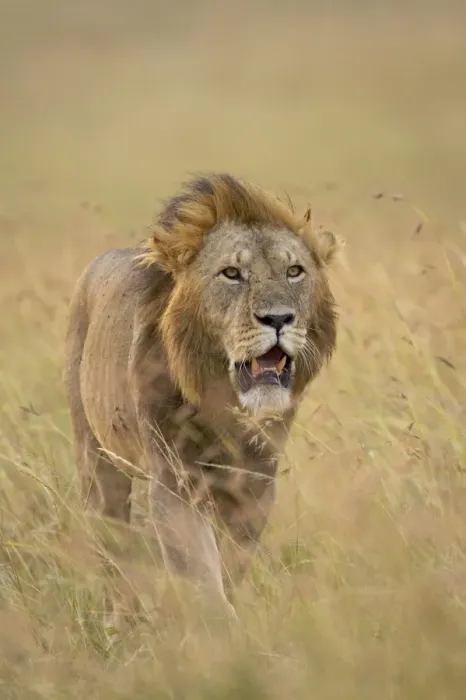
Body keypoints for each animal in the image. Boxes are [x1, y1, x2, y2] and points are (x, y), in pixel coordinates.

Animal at [64, 172, 339, 621]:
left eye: (295, 271)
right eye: (231, 273)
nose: (279, 318)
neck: (223, 405)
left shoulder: (255, 486)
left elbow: (232, 564)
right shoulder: (176, 484)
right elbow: (201, 575)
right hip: (97, 458)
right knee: (111, 537)